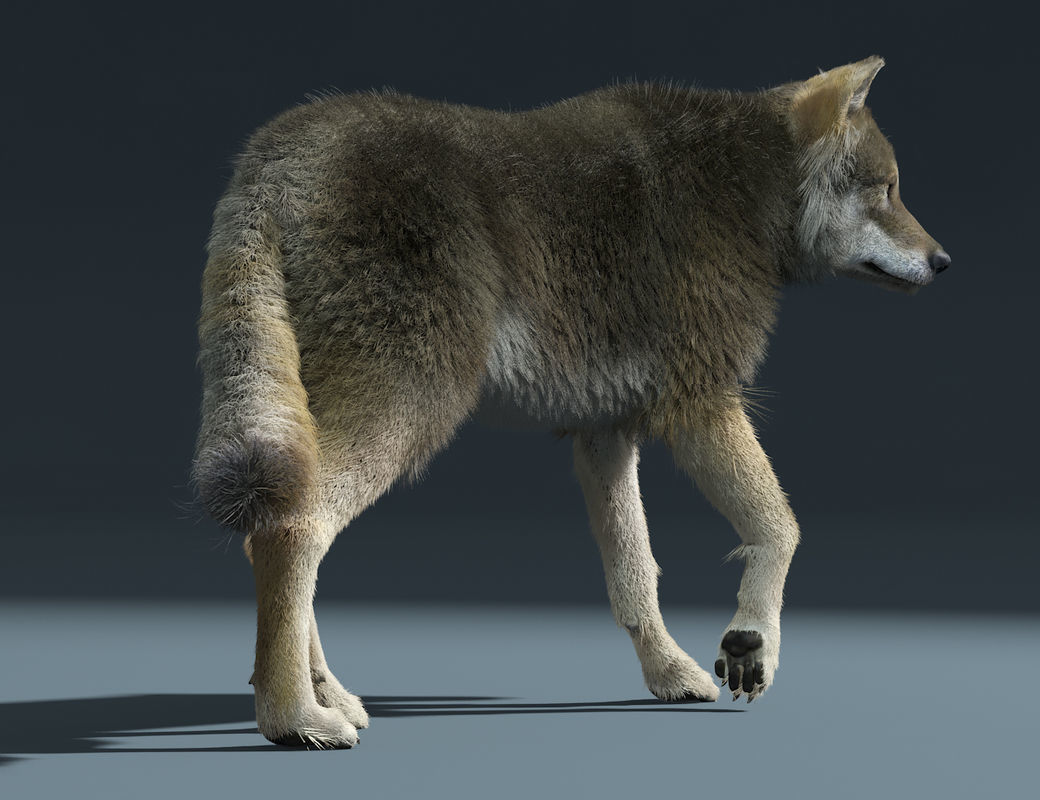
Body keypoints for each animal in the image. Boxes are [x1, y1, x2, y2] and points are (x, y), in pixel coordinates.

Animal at [194, 56, 948, 748]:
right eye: (887, 191)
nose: (943, 262)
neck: (745, 179)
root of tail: (275, 154)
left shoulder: (605, 433)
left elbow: (635, 573)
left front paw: (669, 674)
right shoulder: (701, 403)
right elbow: (780, 527)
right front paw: (749, 645)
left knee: (282, 540)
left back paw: (330, 695)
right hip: (410, 404)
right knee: (293, 531)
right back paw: (295, 718)